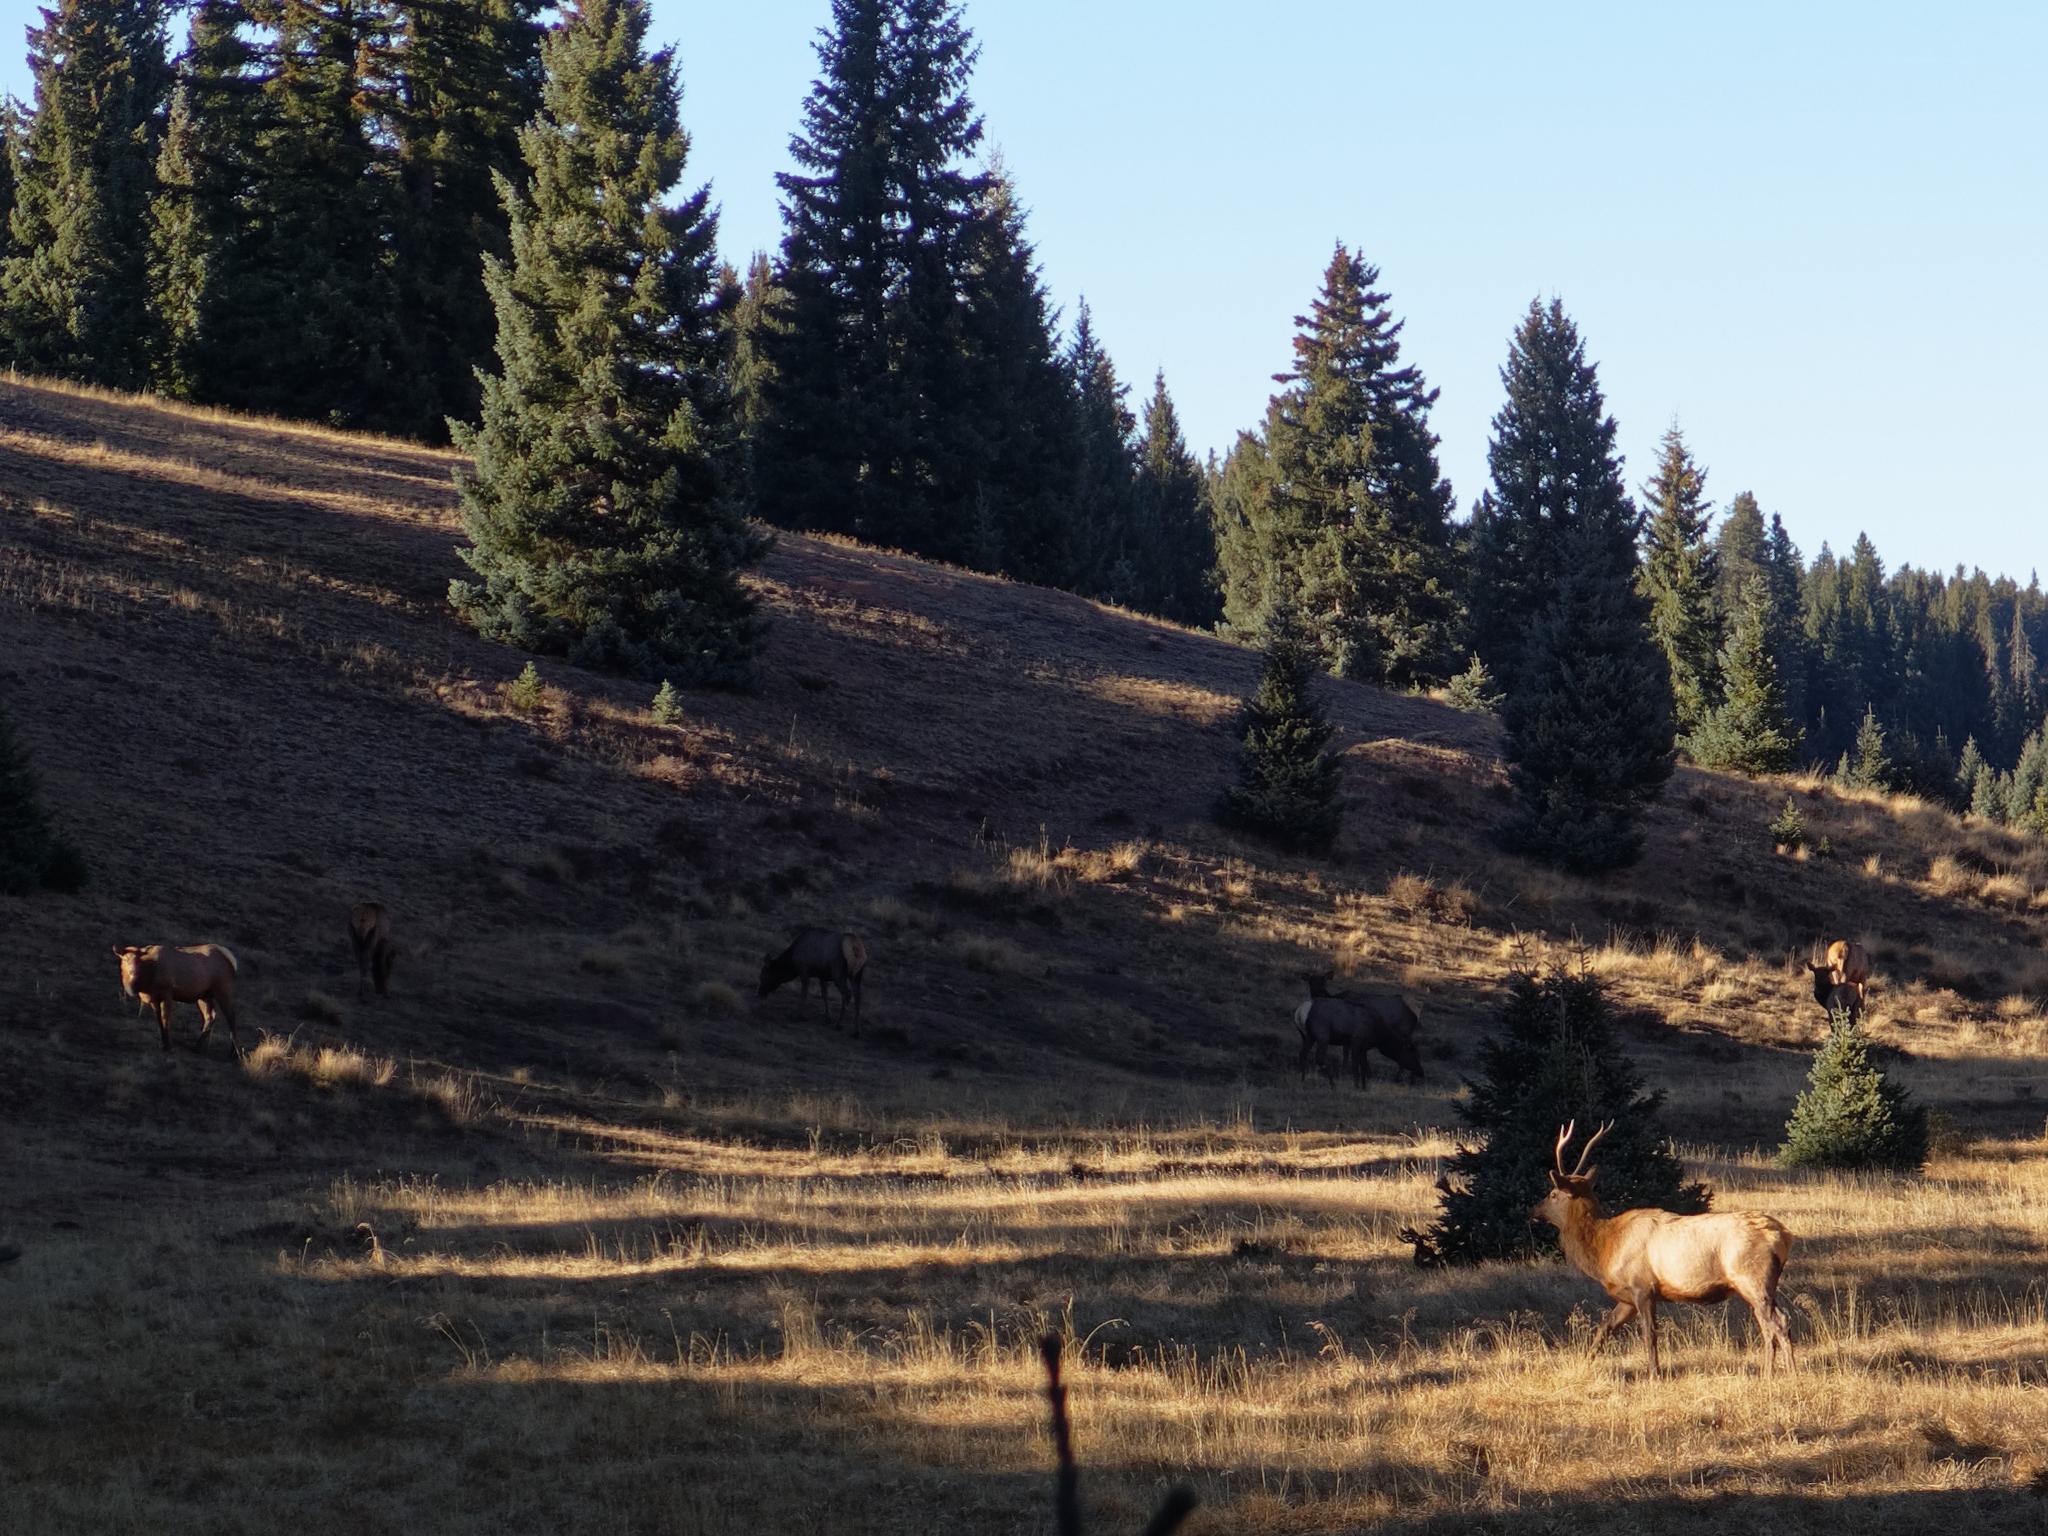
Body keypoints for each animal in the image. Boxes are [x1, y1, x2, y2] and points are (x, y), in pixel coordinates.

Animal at [1531, 1121, 1795, 1377]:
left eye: (1553, 1194)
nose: (1533, 1210)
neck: (1606, 1249)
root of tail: (1783, 1235)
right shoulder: (1628, 1297)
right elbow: (1605, 1327)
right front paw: (1586, 1364)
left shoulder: (1643, 1286)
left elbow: (1650, 1334)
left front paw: (1654, 1375)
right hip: (1762, 1284)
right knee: (1772, 1323)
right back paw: (1773, 1372)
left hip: (1751, 1277)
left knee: (1777, 1322)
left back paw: (1786, 1373)